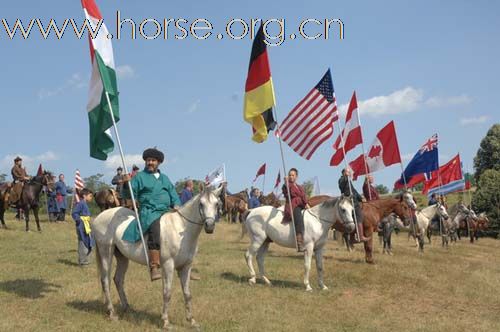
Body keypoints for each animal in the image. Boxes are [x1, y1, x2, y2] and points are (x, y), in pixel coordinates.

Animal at [91, 185, 223, 330]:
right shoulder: (168, 265)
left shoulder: (186, 266)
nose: (209, 226)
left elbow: (187, 294)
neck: (181, 229)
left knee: (118, 280)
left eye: (216, 204)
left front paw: (192, 321)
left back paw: (127, 308)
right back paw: (111, 313)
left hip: (122, 257)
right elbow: (167, 292)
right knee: (105, 280)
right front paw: (165, 321)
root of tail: (100, 216)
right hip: (106, 252)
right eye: (201, 204)